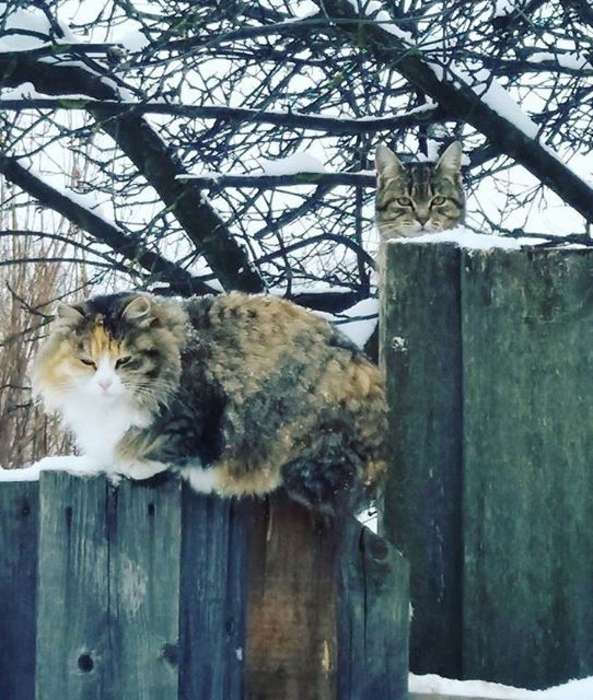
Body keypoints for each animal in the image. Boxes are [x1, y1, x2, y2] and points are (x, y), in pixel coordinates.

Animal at [32, 290, 386, 516]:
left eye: (124, 361)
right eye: (87, 362)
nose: (105, 384)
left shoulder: (199, 412)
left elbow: (165, 447)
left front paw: (132, 461)